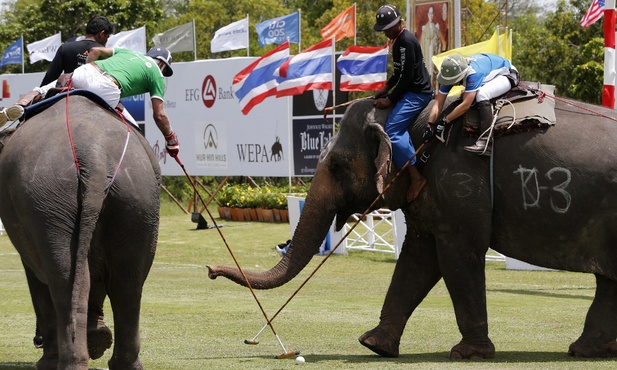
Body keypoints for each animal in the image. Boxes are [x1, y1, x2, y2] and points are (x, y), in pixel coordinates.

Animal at [0, 94, 161, 368]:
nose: (36, 340)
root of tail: (95, 159)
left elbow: (36, 277)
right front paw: (98, 339)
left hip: (50, 198)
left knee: (63, 278)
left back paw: (62, 362)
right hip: (138, 198)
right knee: (126, 282)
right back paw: (123, 362)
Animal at [209, 95, 616, 358]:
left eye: (337, 165)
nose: (210, 270)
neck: (425, 114)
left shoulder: (458, 180)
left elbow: (457, 256)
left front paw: (467, 354)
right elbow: (419, 258)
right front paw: (373, 345)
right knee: (609, 283)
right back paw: (587, 351)